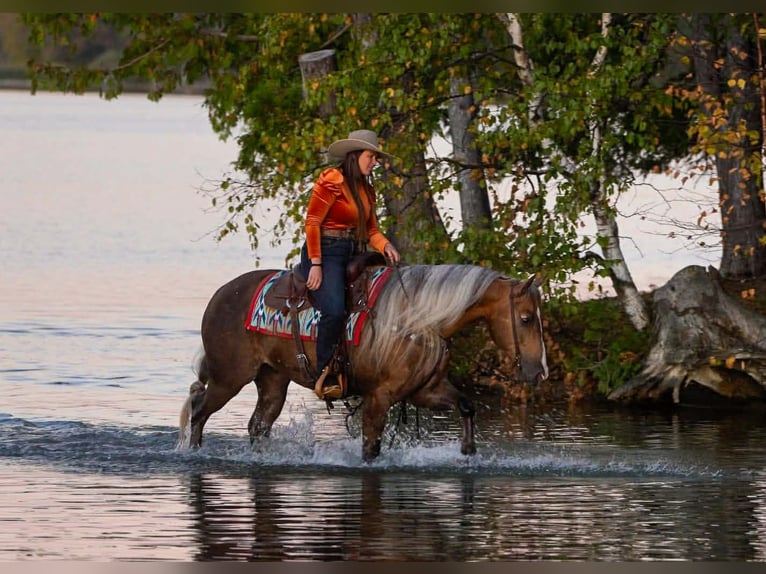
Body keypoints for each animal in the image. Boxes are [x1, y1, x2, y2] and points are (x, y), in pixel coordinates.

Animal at [178, 263, 548, 462]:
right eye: (526, 318)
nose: (541, 371)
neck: (418, 320)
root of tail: (220, 295)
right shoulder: (379, 397)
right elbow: (371, 447)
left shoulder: (425, 391)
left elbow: (467, 405)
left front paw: (468, 449)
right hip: (228, 378)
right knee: (199, 410)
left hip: (272, 381)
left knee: (257, 425)